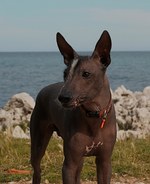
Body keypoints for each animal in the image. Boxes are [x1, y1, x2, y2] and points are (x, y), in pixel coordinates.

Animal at [29, 29, 116, 183]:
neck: (93, 115)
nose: (62, 98)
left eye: (86, 74)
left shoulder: (105, 162)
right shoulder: (69, 165)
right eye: (65, 74)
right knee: (37, 169)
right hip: (38, 145)